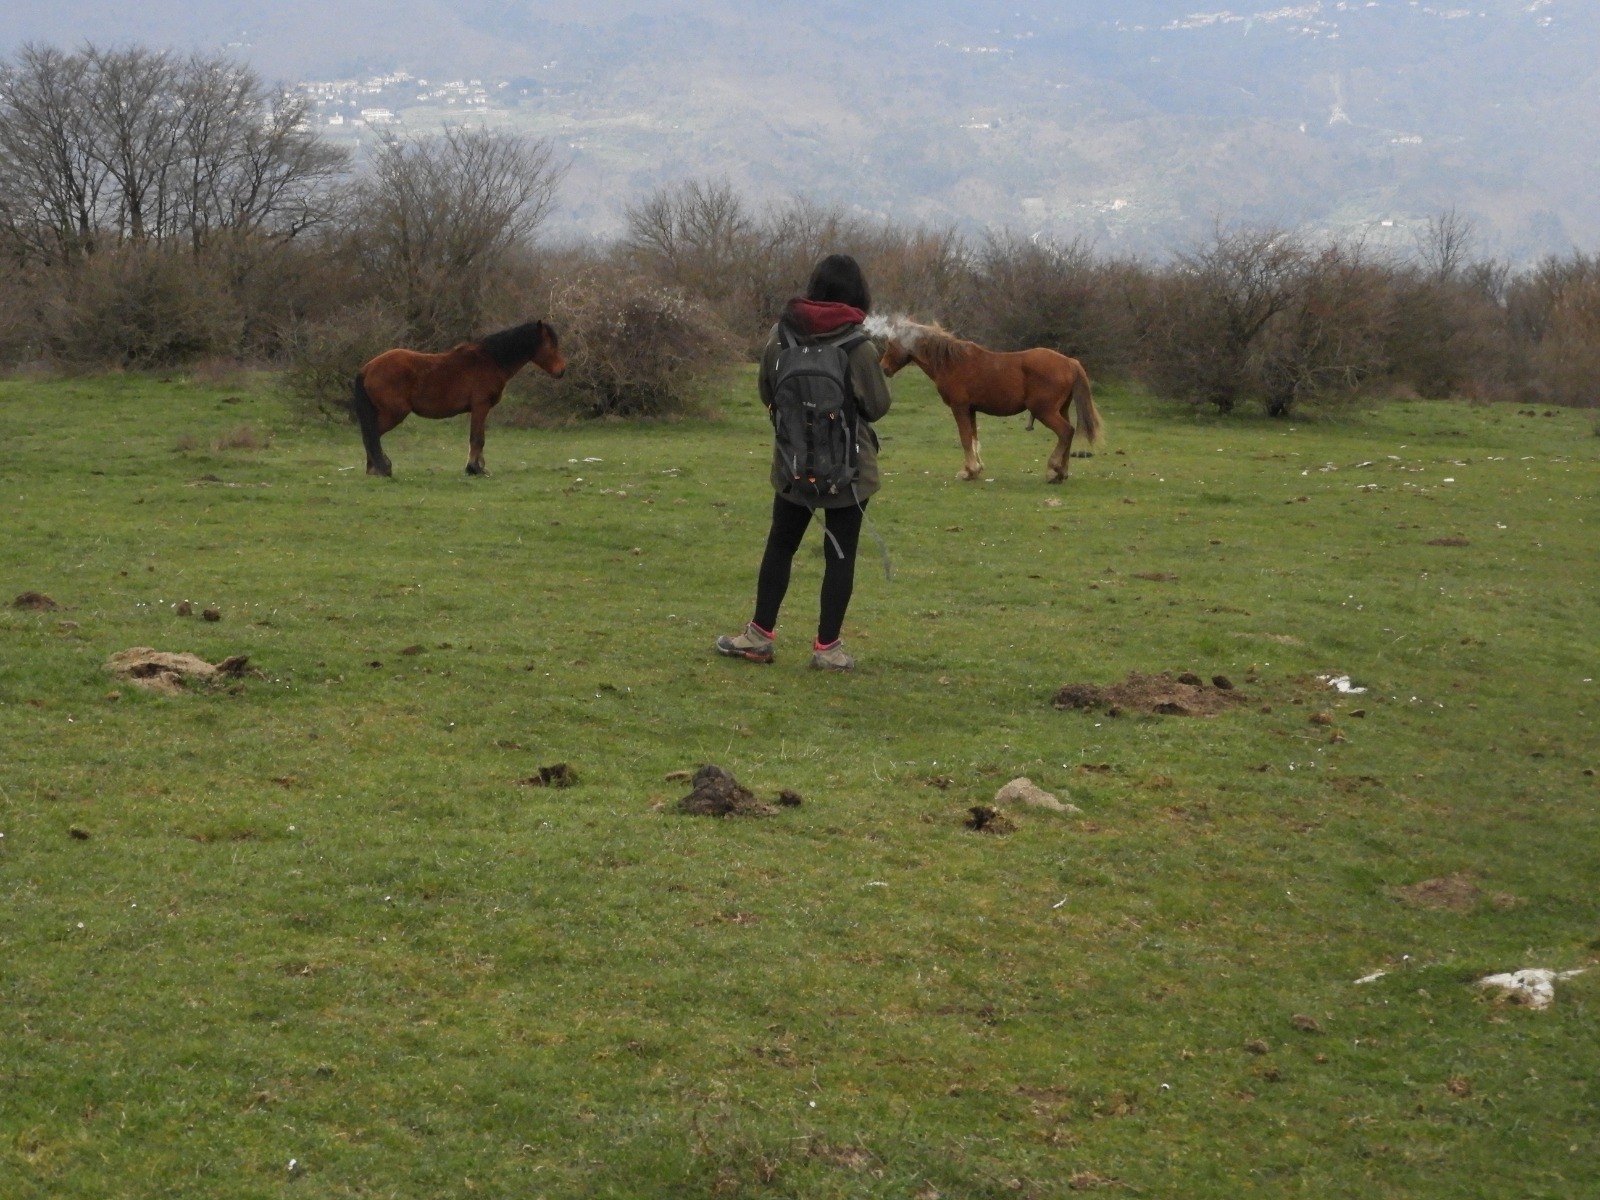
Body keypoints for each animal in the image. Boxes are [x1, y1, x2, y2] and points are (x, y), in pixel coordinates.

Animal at [351, 320, 567, 477]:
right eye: (550, 345)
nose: (562, 371)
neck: (490, 360)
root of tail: (367, 368)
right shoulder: (481, 407)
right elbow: (477, 439)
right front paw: (475, 469)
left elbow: (478, 438)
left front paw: (478, 467)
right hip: (394, 414)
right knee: (371, 434)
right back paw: (381, 468)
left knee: (370, 434)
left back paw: (374, 468)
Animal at [878, 319, 1103, 483]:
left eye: (890, 344)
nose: (883, 368)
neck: (951, 363)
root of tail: (1069, 362)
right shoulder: (971, 409)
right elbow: (973, 437)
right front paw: (975, 469)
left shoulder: (959, 408)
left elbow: (965, 438)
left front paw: (968, 471)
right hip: (1060, 409)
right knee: (1069, 434)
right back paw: (1061, 472)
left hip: (1044, 412)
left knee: (1065, 432)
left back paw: (1053, 468)